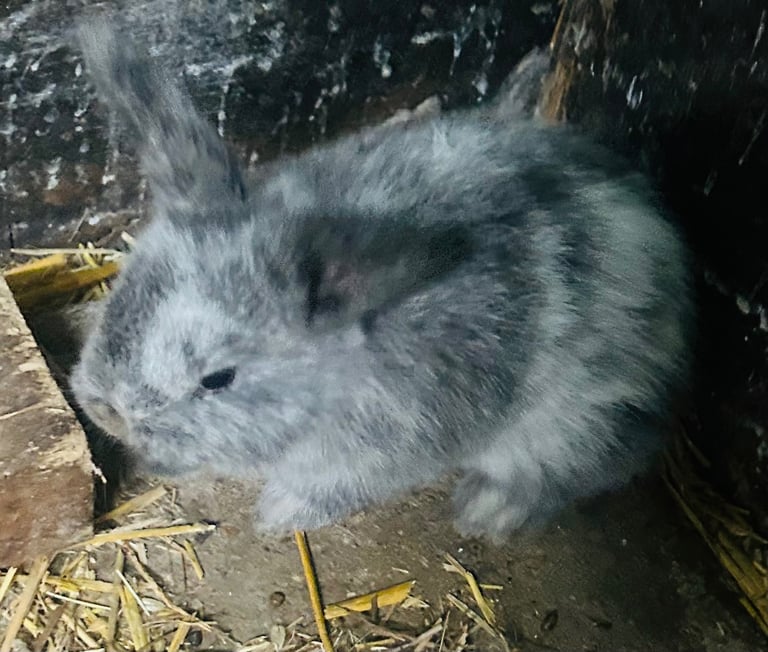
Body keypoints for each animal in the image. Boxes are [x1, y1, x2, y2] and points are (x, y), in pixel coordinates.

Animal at [70, 16, 693, 540]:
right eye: (122, 291)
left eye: (218, 379)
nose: (104, 409)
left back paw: (487, 512)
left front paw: (276, 517)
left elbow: (333, 489)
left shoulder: (380, 454)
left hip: (570, 424)